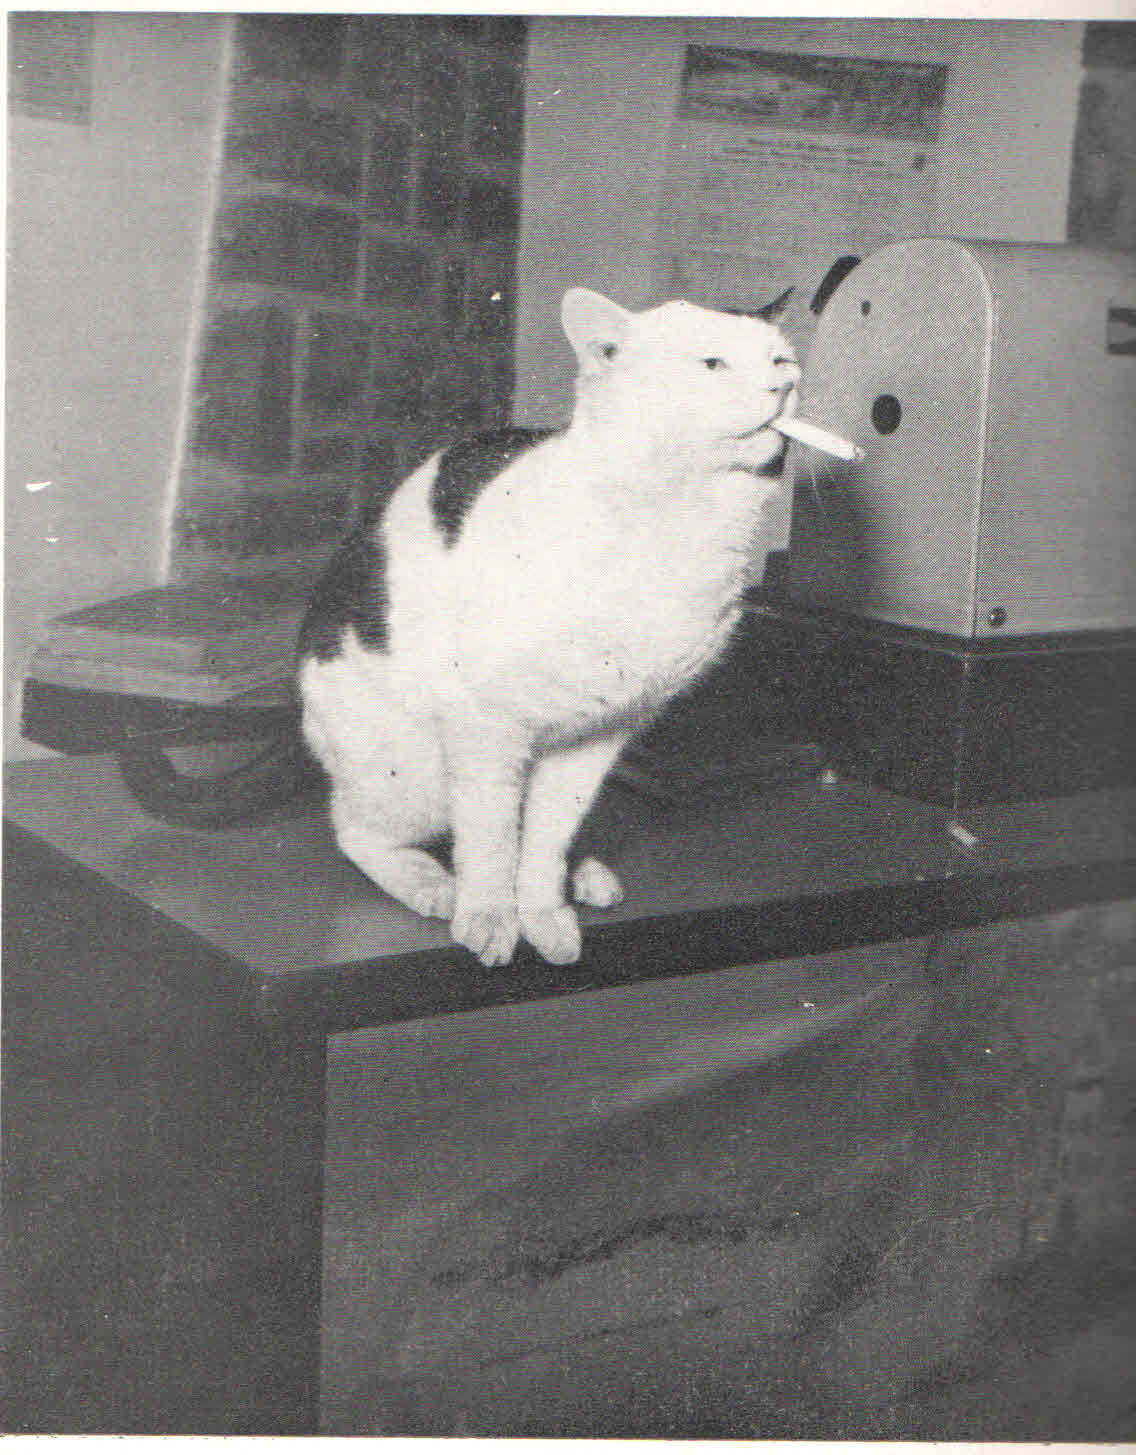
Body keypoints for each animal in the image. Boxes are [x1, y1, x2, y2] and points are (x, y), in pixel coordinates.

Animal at [297, 287, 800, 967]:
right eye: (713, 364)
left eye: (781, 359)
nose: (785, 386)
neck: (683, 524)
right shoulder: (487, 727)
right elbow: (490, 839)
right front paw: (489, 914)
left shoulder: (598, 737)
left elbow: (545, 836)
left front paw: (539, 911)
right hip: (411, 772)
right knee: (353, 828)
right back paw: (427, 881)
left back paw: (581, 874)